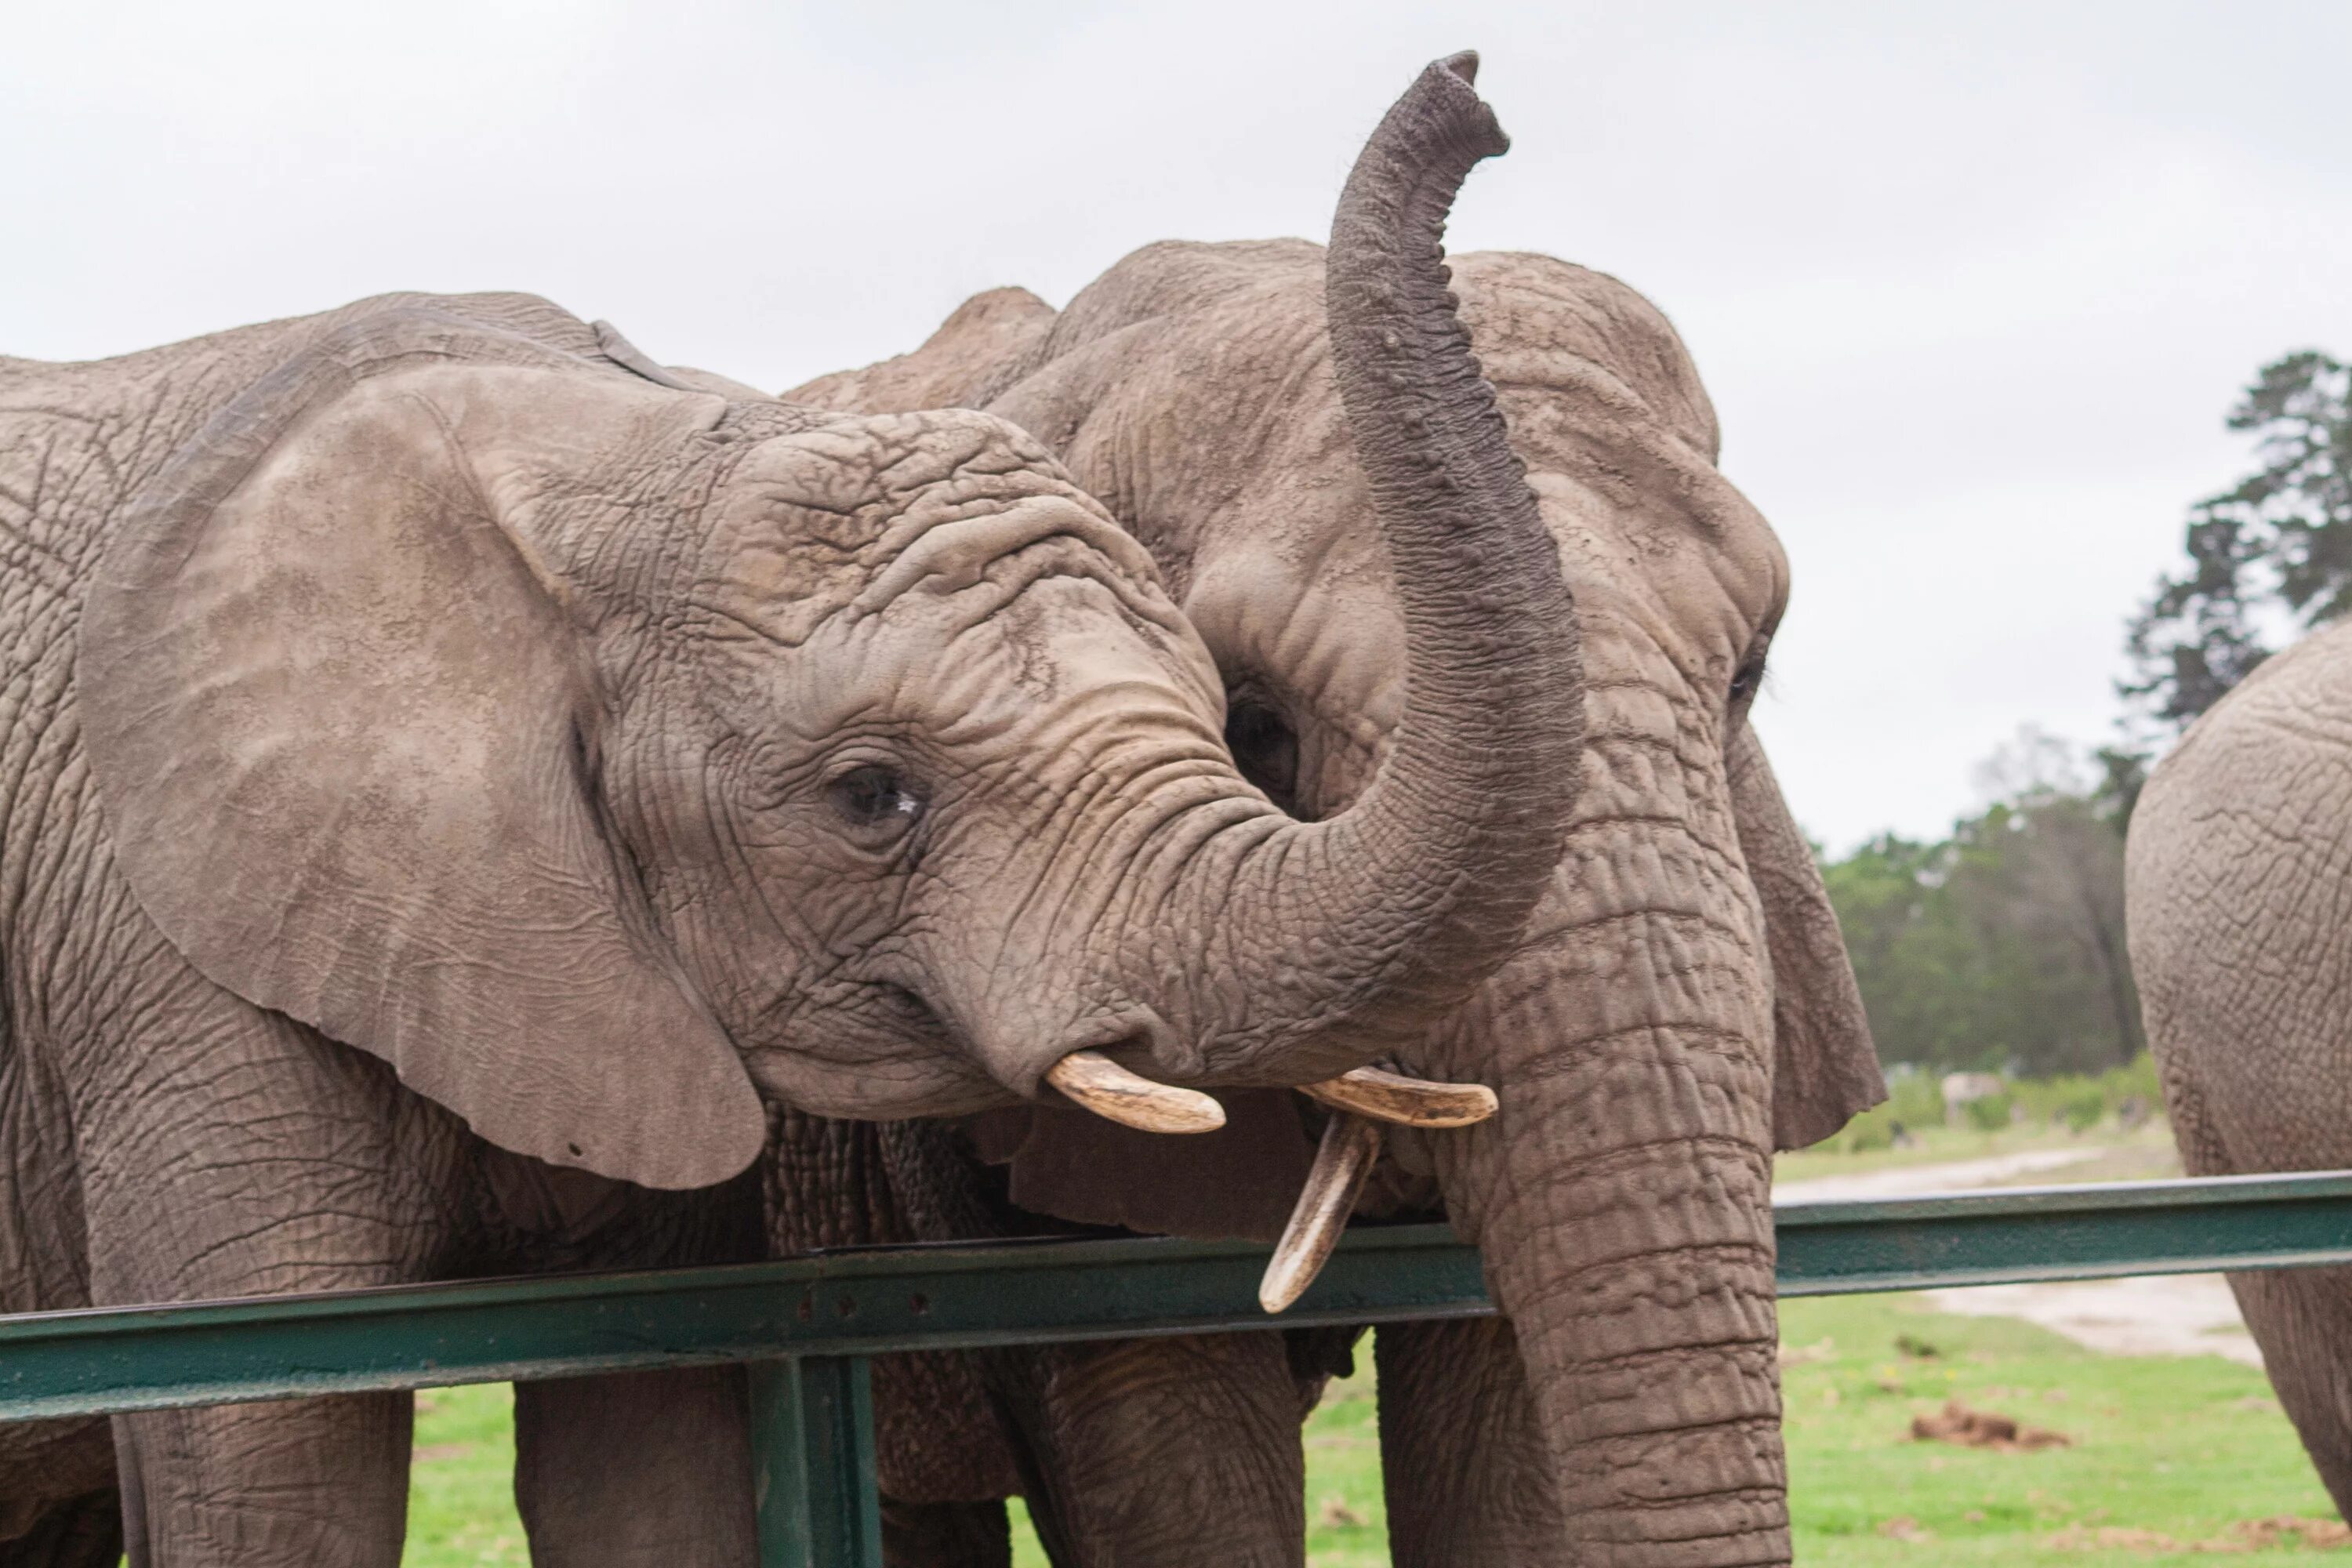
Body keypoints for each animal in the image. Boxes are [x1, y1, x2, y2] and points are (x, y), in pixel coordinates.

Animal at [0, 272, 1590, 1568]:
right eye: (871, 796)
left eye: (1235, 720)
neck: (610, 452)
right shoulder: (168, 950)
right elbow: (268, 1468)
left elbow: (649, 1456)